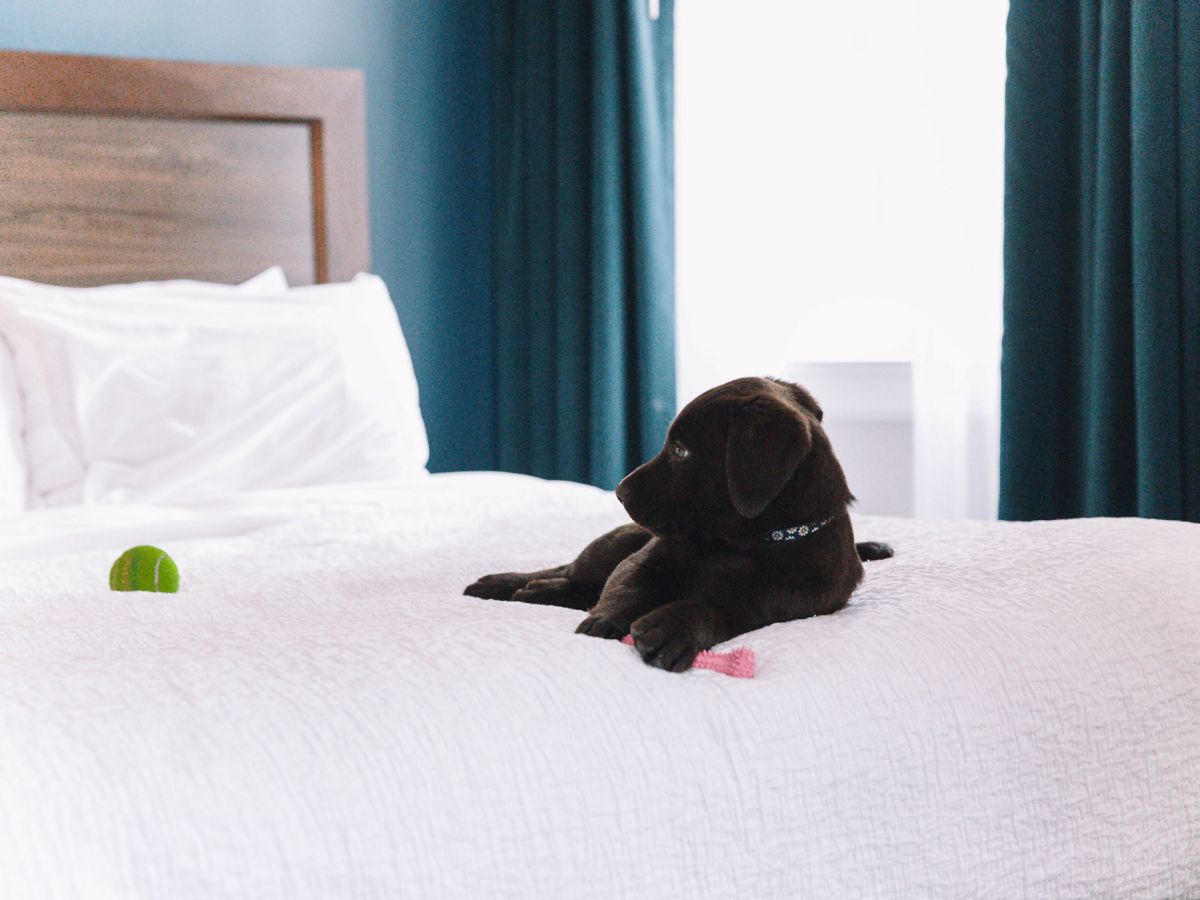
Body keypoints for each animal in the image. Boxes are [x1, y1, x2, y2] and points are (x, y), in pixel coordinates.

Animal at [465, 376, 892, 672]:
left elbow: (726, 605)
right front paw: (605, 620)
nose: (619, 492)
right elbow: (629, 586)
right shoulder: (645, 558)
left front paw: (674, 627)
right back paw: (509, 584)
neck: (738, 544)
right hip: (610, 546)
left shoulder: (795, 598)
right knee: (570, 571)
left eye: (681, 450)